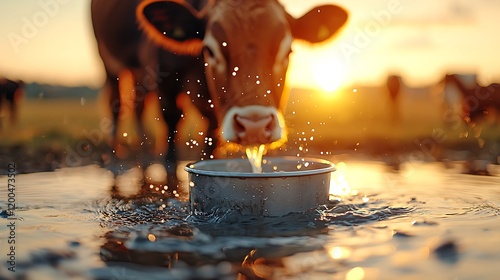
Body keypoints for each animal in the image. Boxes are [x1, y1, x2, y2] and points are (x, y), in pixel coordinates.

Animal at [91, 0, 348, 191]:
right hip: (108, 62)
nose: (254, 126)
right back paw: (116, 155)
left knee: (138, 104)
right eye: (209, 50)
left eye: (288, 51)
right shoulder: (164, 77)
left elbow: (210, 141)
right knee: (117, 104)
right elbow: (171, 130)